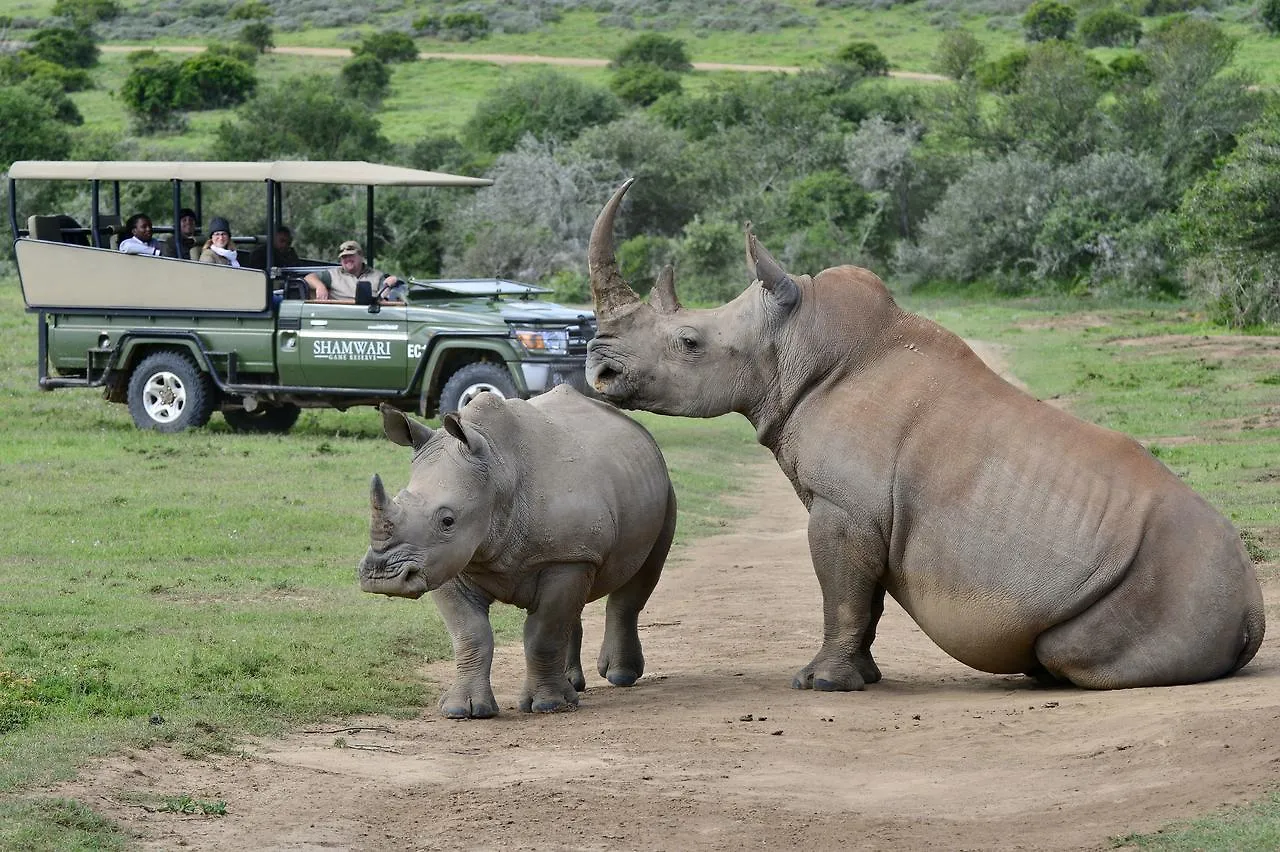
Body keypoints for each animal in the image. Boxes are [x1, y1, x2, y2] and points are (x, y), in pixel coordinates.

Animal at [355, 386, 675, 716]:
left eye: (447, 521)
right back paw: (573, 686)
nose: (383, 578)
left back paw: (619, 677)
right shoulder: (443, 562)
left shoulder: (565, 557)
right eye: (399, 499)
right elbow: (470, 634)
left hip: (663, 493)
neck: (497, 469)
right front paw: (462, 710)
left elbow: (543, 633)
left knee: (638, 581)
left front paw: (548, 705)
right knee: (575, 606)